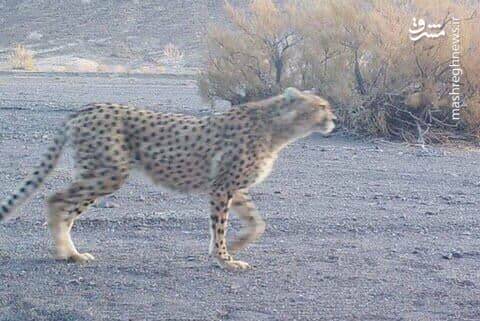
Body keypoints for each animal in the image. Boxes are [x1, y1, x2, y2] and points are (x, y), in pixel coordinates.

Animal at [0, 86, 338, 268]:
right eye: (321, 105)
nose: (334, 119)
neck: (277, 127)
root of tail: (87, 107)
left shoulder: (231, 187)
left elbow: (257, 223)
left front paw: (237, 247)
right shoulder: (222, 187)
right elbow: (220, 226)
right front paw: (224, 258)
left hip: (98, 172)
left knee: (67, 209)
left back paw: (72, 253)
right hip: (108, 173)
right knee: (55, 199)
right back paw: (63, 252)